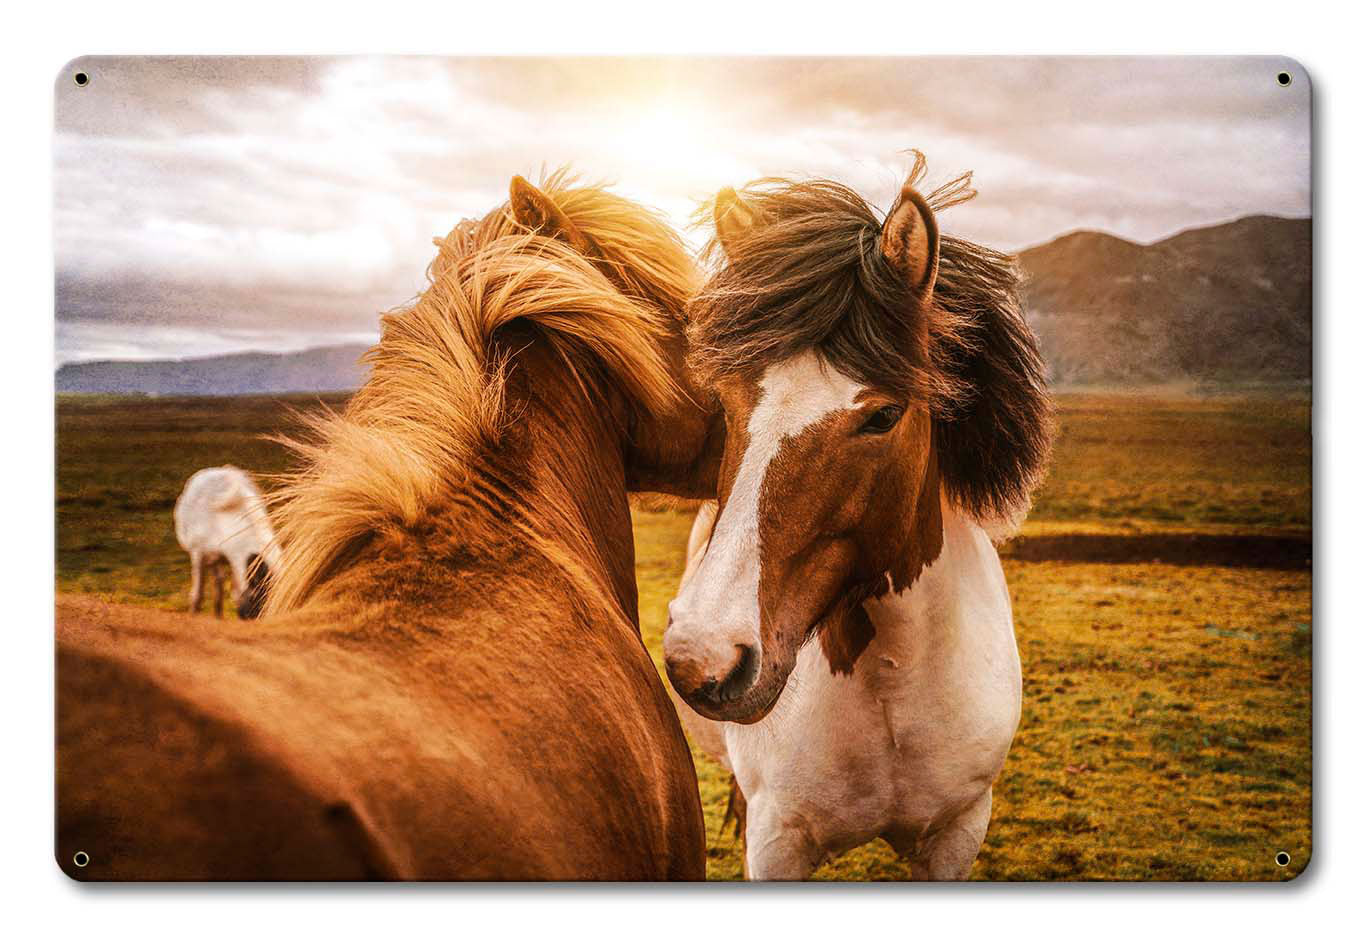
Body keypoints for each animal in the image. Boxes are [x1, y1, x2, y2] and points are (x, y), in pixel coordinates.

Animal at [173, 465, 280, 618]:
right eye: (262, 599)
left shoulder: (234, 559)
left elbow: (231, 593)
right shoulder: (197, 554)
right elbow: (197, 595)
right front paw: (193, 615)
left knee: (220, 583)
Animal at [663, 155, 1053, 880]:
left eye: (883, 415)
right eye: (724, 401)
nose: (703, 659)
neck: (890, 690)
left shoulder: (957, 833)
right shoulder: (778, 842)